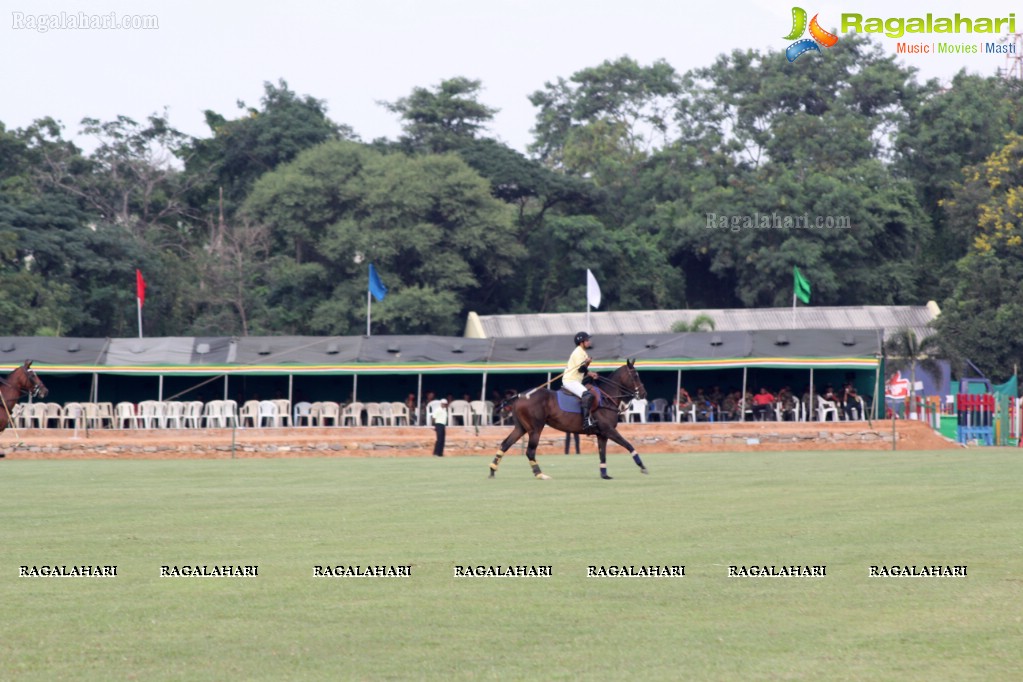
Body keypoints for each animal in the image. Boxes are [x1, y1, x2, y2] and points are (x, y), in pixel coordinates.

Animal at [486, 359, 646, 482]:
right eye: (635, 375)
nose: (644, 393)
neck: (607, 398)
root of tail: (519, 397)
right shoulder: (609, 430)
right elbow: (628, 444)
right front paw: (642, 466)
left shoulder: (602, 434)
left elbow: (602, 454)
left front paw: (604, 475)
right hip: (535, 429)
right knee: (530, 451)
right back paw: (540, 474)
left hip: (521, 428)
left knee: (505, 444)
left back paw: (492, 471)